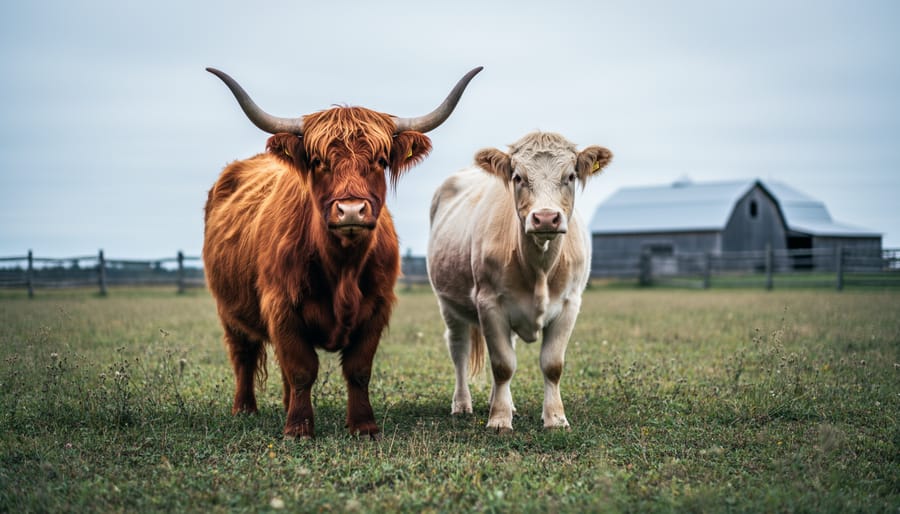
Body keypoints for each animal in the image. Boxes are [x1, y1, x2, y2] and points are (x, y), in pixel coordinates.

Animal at [203, 66, 482, 438]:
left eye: (380, 160)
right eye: (318, 161)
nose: (351, 210)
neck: (343, 268)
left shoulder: (377, 307)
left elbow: (357, 369)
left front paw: (363, 425)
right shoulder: (281, 307)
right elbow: (302, 368)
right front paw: (299, 428)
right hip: (228, 310)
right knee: (243, 355)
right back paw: (245, 409)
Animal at [427, 131, 612, 433]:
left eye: (570, 176)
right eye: (518, 177)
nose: (546, 218)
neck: (539, 269)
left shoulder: (570, 304)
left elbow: (552, 364)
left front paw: (555, 418)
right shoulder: (489, 304)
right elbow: (502, 365)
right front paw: (499, 420)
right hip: (449, 305)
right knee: (458, 349)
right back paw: (462, 404)